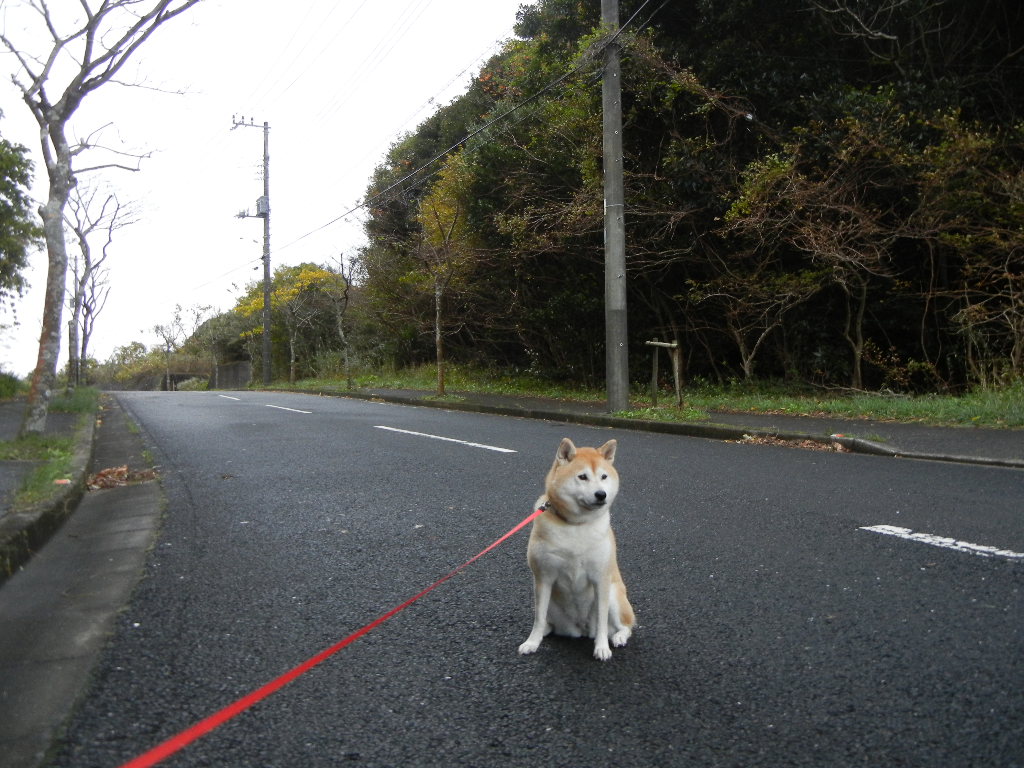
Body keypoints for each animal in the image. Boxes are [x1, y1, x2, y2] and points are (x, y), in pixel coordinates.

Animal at [520, 438, 630, 663]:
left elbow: (602, 621)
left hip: (614, 595)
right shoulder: (543, 578)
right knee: (547, 622)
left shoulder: (601, 579)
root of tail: (581, 630)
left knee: (624, 627)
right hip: (552, 603)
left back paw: (618, 637)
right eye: (582, 477)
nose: (601, 494)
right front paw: (532, 642)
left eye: (604, 477)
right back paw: (546, 631)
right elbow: (538, 618)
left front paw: (602, 647)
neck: (577, 525)